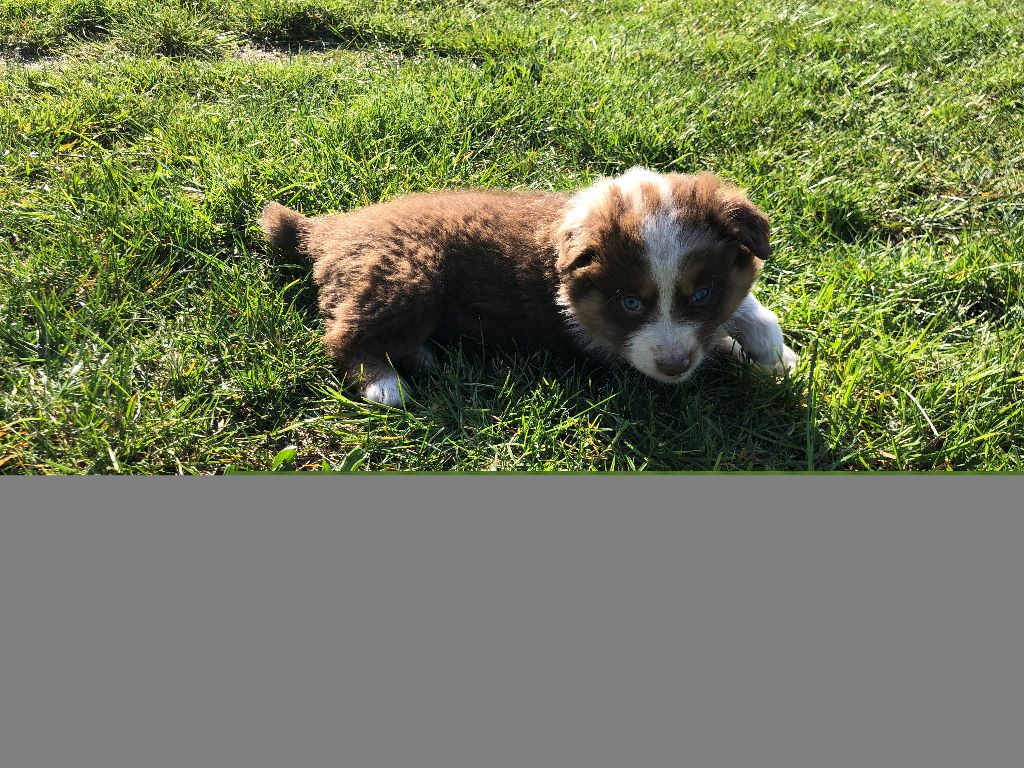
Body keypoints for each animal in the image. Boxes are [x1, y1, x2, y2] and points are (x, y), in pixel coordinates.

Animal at [260, 167, 797, 406]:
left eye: (701, 294)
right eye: (629, 302)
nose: (673, 367)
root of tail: (329, 230)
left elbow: (742, 316)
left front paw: (776, 355)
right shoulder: (607, 346)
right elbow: (716, 351)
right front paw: (753, 357)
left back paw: (422, 358)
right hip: (403, 277)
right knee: (344, 337)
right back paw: (384, 383)